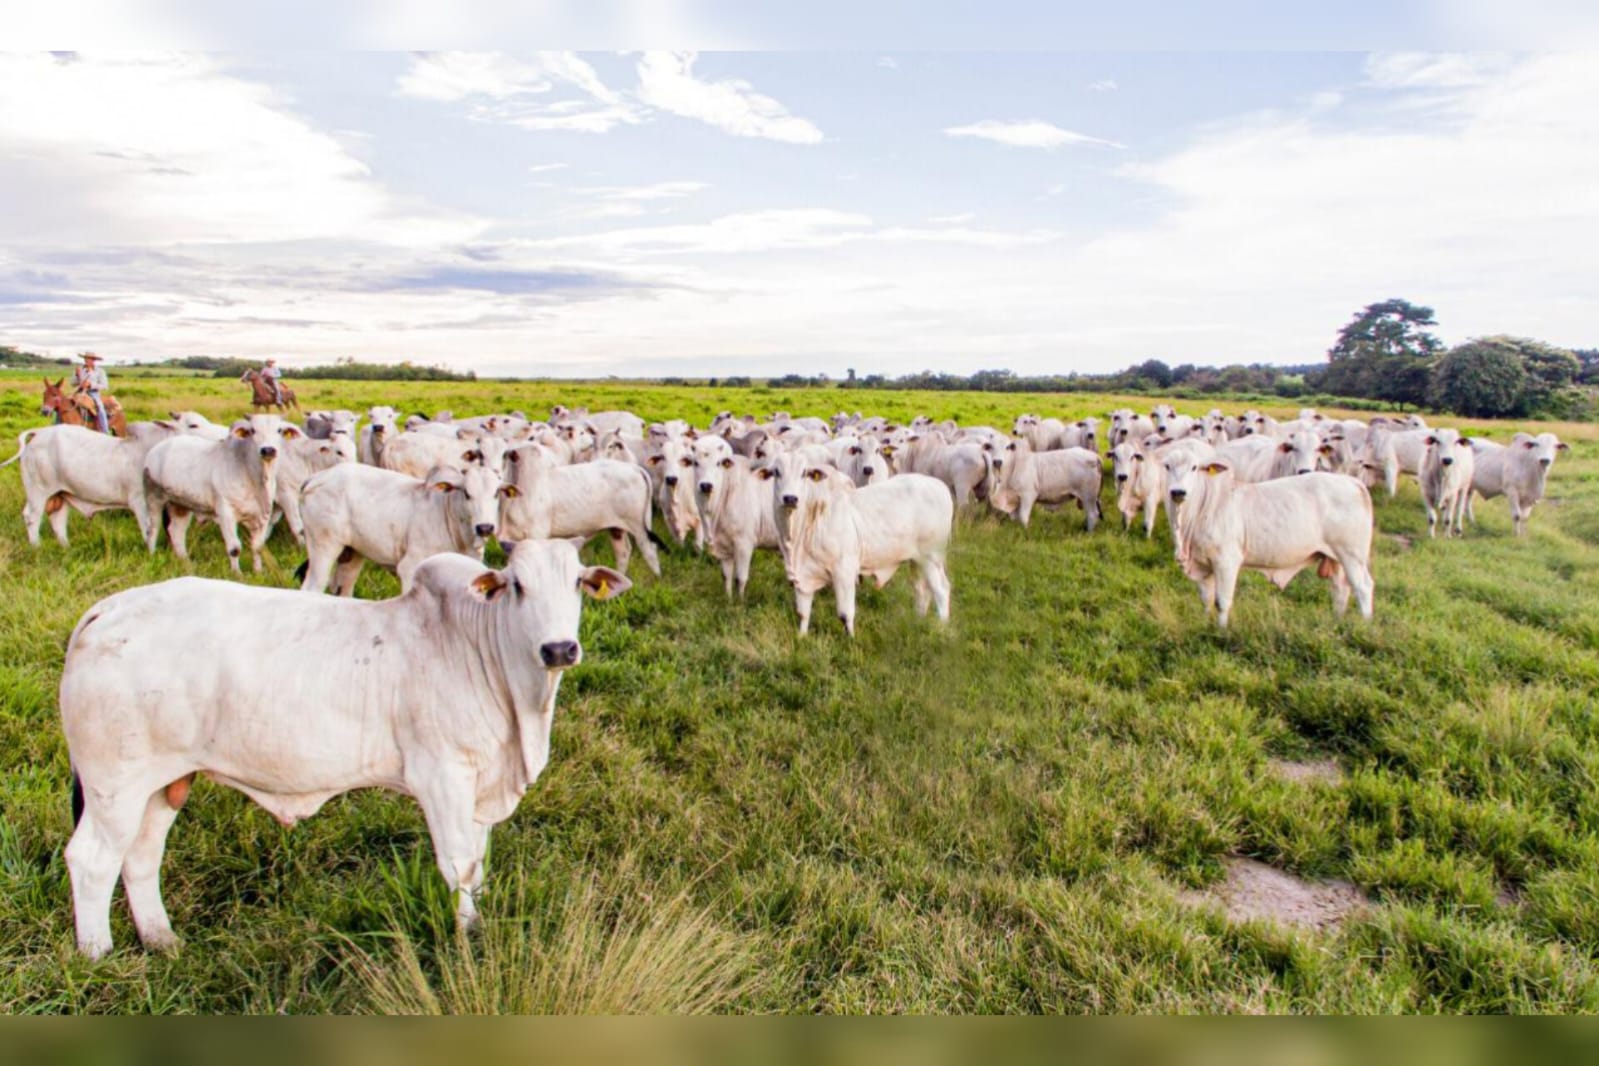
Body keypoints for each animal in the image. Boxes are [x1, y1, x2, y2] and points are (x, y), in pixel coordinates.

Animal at [59, 543, 630, 958]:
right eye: (517, 585)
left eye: (577, 582)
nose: (559, 649)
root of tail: (105, 610)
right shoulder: (443, 778)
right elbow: (460, 866)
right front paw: (468, 940)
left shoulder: (481, 783)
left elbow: (480, 866)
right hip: (114, 786)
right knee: (91, 860)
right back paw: (98, 956)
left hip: (163, 783)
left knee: (140, 856)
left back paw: (163, 940)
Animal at [299, 463, 498, 597]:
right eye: (467, 493)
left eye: (497, 493)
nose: (485, 527)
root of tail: (317, 477)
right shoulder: (409, 568)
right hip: (323, 546)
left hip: (352, 554)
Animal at [1164, 453, 1375, 632]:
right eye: (1167, 466)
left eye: (1194, 467)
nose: (1177, 492)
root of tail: (1353, 482)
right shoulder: (1202, 564)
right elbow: (1206, 600)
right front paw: (1206, 624)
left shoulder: (1226, 562)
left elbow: (1222, 602)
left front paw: (1221, 632)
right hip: (1336, 558)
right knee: (1340, 589)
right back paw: (1336, 623)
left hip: (1352, 555)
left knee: (1363, 587)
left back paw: (1366, 625)